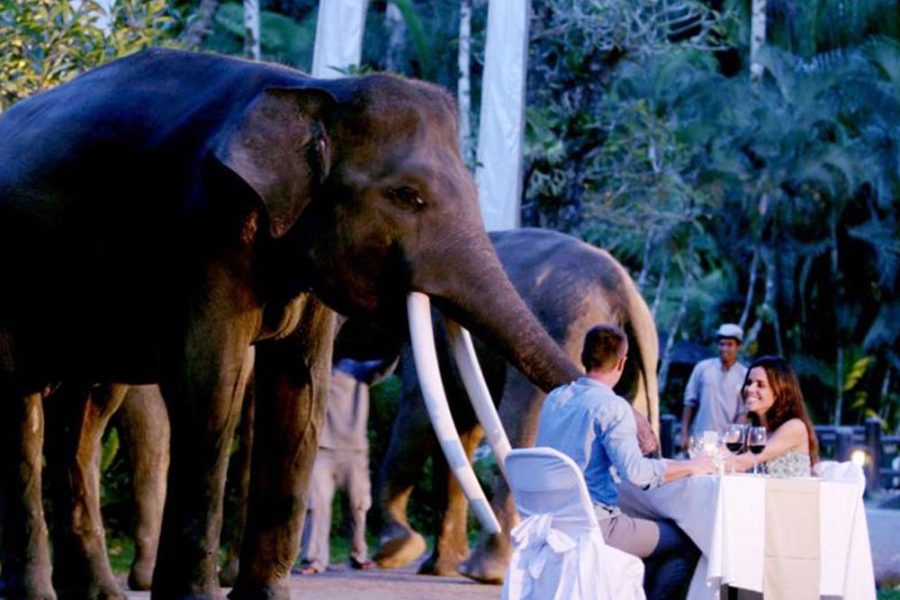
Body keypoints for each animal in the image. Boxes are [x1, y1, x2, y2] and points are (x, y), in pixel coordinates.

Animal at [0, 48, 579, 600]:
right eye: (407, 197)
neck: (310, 90)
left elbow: (302, 388)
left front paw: (265, 596)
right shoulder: (206, 232)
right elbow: (214, 381)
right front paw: (196, 598)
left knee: (85, 414)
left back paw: (99, 594)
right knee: (23, 412)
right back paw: (36, 593)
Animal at [372, 227, 660, 582]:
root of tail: (621, 288)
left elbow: (419, 413)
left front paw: (395, 551)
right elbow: (461, 429)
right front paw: (437, 569)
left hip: (562, 331)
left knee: (518, 428)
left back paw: (484, 573)